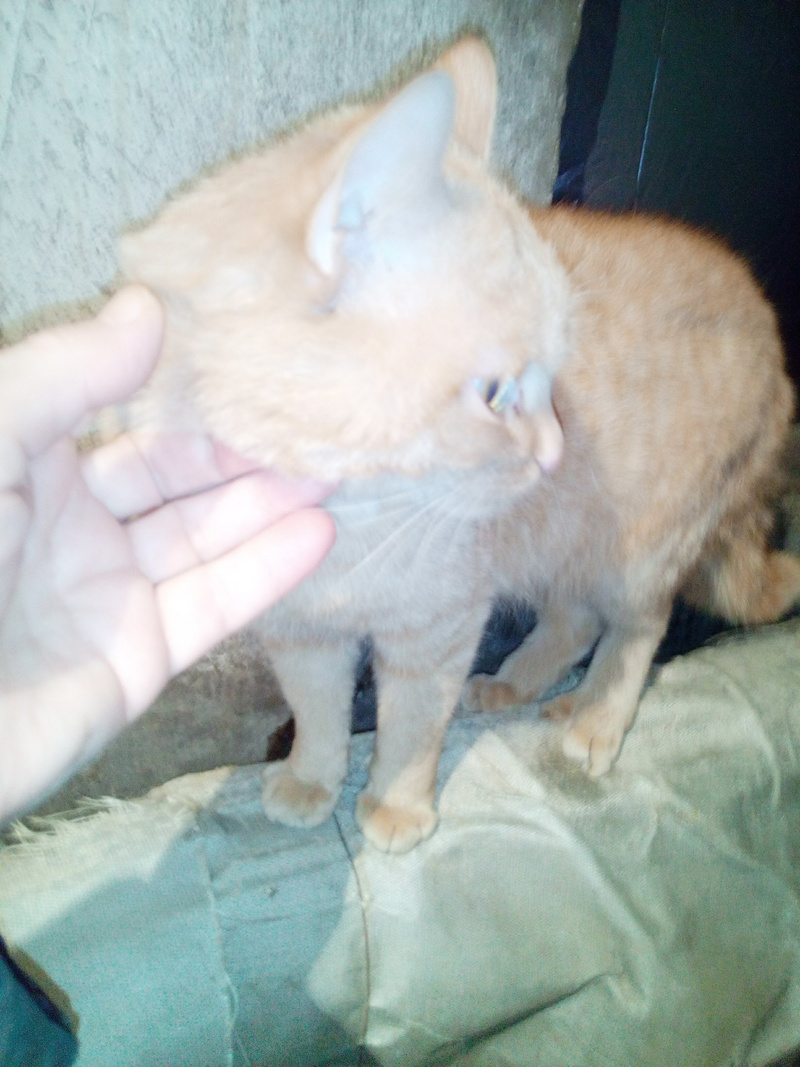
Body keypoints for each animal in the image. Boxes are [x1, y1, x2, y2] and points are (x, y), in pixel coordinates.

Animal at [117, 37, 800, 853]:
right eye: (496, 393)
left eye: (555, 370)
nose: (554, 455)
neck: (351, 518)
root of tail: (769, 329)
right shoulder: (301, 628)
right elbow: (318, 712)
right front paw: (313, 779)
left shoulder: (439, 626)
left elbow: (412, 727)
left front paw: (396, 805)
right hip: (563, 544)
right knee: (573, 619)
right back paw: (518, 683)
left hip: (638, 550)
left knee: (638, 629)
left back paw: (596, 718)